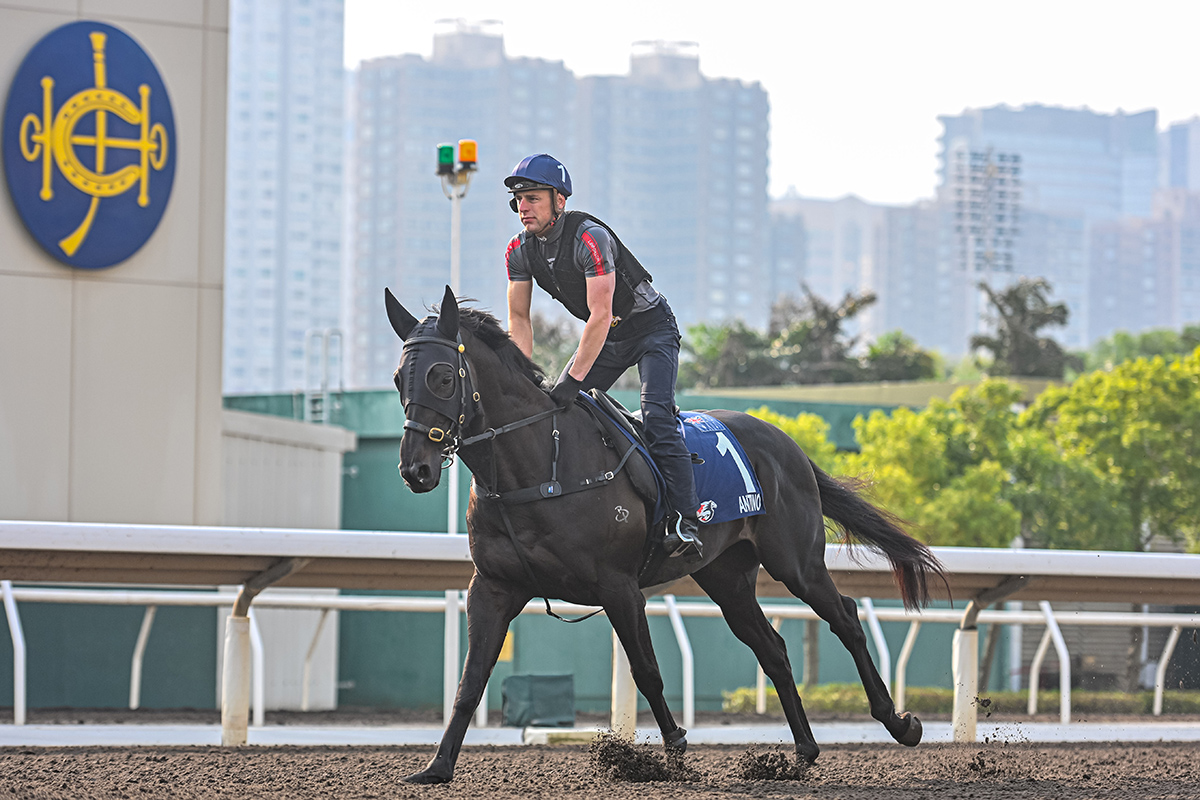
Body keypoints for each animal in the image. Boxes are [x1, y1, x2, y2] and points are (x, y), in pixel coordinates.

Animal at [384, 284, 945, 786]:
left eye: (440, 376)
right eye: (397, 379)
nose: (415, 469)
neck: (541, 465)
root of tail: (789, 444)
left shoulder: (618, 586)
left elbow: (647, 670)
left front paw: (673, 753)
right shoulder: (494, 587)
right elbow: (470, 681)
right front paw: (436, 768)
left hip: (797, 561)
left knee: (845, 619)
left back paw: (900, 724)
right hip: (727, 577)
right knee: (772, 648)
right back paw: (803, 752)